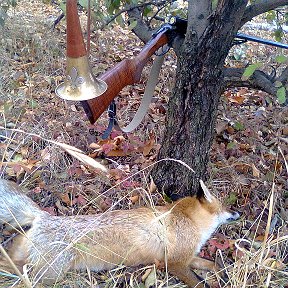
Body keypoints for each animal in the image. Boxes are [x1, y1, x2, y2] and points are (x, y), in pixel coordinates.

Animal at [0, 180, 238, 286]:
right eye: (225, 206)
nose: (239, 212)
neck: (189, 221)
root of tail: (44, 216)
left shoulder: (185, 256)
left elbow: (212, 264)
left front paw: (224, 273)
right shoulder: (174, 262)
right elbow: (199, 282)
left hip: (29, 263)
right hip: (49, 275)